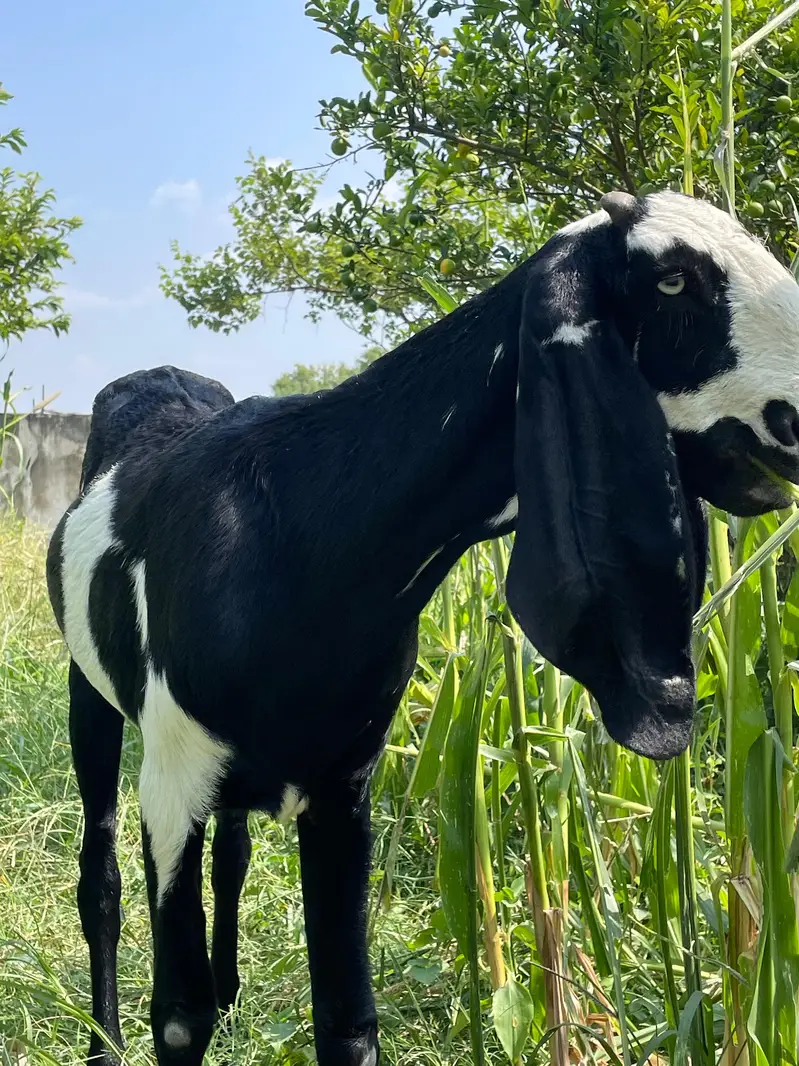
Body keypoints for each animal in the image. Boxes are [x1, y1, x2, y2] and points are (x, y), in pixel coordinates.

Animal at [47, 190, 799, 1066]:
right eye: (675, 280)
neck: (297, 527)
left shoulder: (342, 784)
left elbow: (347, 1024)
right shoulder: (172, 779)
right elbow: (176, 1015)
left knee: (231, 856)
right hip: (91, 698)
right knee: (99, 875)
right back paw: (102, 1043)